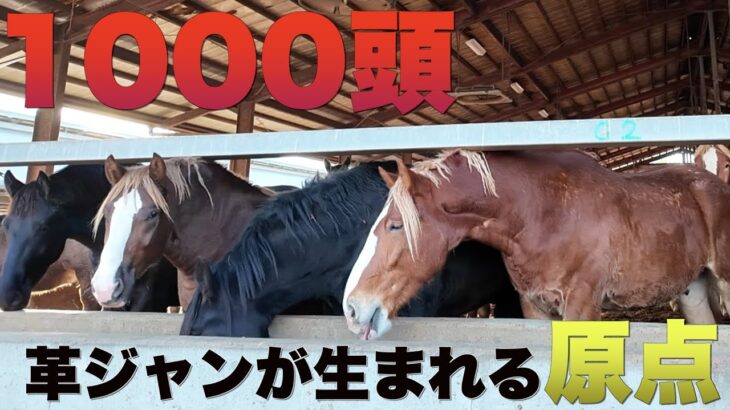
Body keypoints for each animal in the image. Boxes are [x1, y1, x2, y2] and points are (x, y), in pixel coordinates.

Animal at [343, 149, 730, 340]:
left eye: (395, 225)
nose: (351, 308)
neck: (545, 214)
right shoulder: (534, 307)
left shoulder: (582, 306)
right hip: (693, 291)